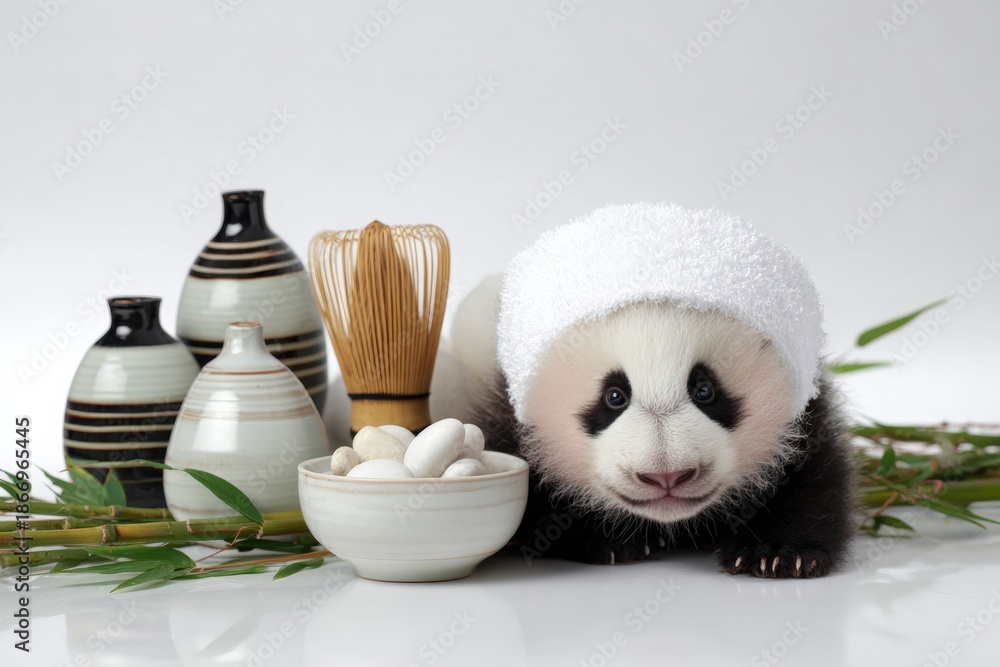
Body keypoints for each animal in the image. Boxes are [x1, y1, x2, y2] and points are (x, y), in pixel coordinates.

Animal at [461, 203, 855, 578]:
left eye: (705, 390)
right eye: (614, 397)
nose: (667, 477)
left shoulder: (806, 411)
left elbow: (813, 476)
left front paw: (776, 552)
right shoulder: (507, 408)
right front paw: (610, 540)